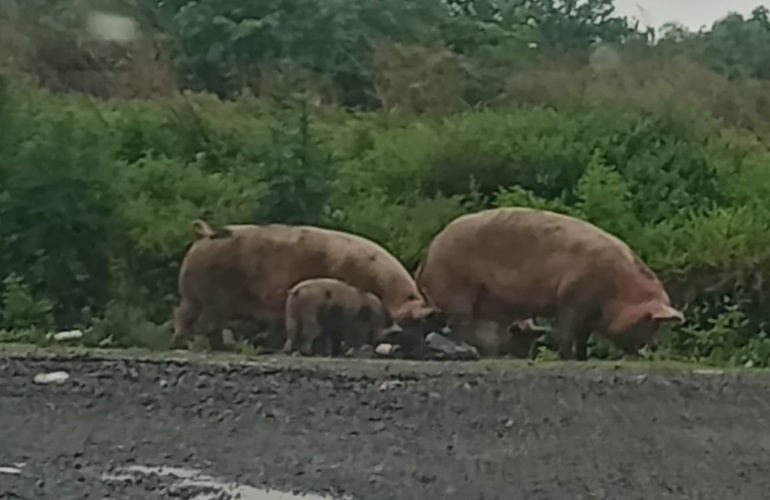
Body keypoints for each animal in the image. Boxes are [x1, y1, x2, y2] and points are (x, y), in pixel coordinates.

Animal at [414, 205, 684, 362]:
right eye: (651, 323)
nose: (653, 350)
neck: (617, 291)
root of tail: (428, 253)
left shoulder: (588, 313)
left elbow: (583, 338)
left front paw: (582, 358)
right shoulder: (571, 298)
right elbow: (566, 332)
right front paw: (566, 359)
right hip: (456, 289)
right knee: (460, 323)